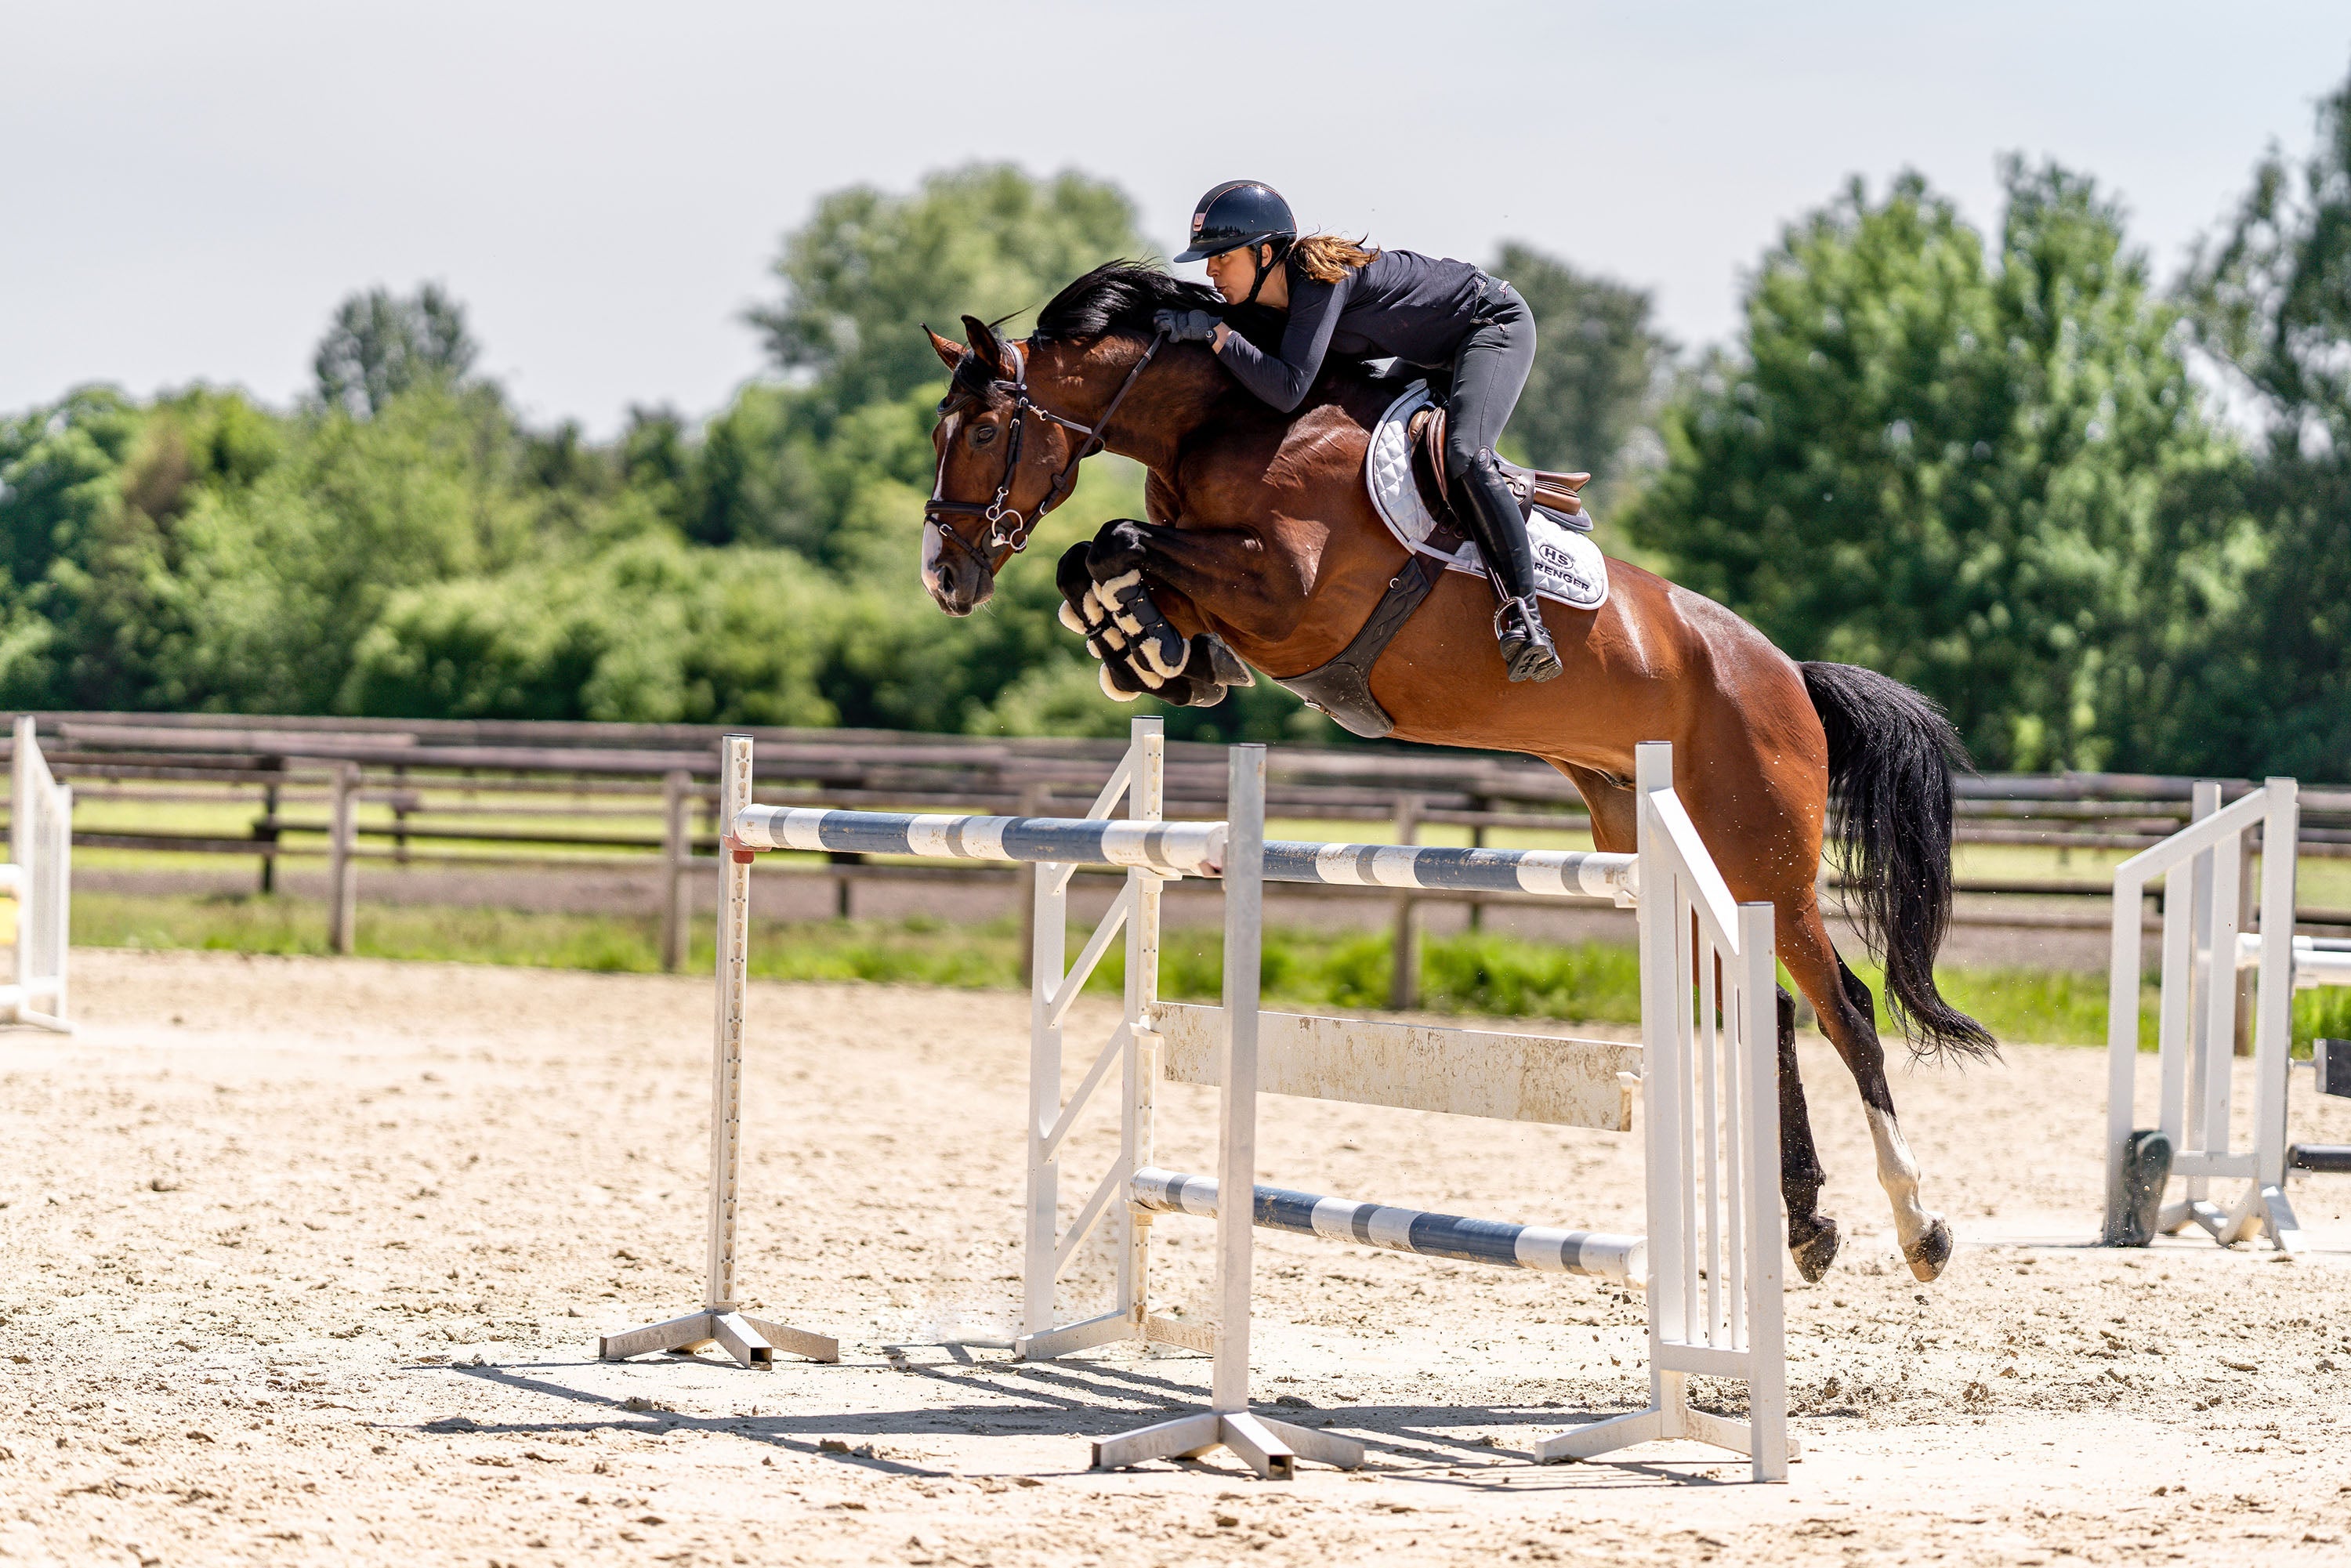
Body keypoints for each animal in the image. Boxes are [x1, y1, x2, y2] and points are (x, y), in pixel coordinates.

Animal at [920, 261, 1995, 1285]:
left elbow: (1119, 541)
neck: (1223, 424)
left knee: (1844, 1009)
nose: (945, 576)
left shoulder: (1289, 595)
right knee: (1766, 1009)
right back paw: (1809, 1226)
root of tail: (1789, 677)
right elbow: (1100, 557)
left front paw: (1142, 640)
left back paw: (1921, 1228)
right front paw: (1147, 650)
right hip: (1663, 847)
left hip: (1763, 857)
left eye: (985, 429)